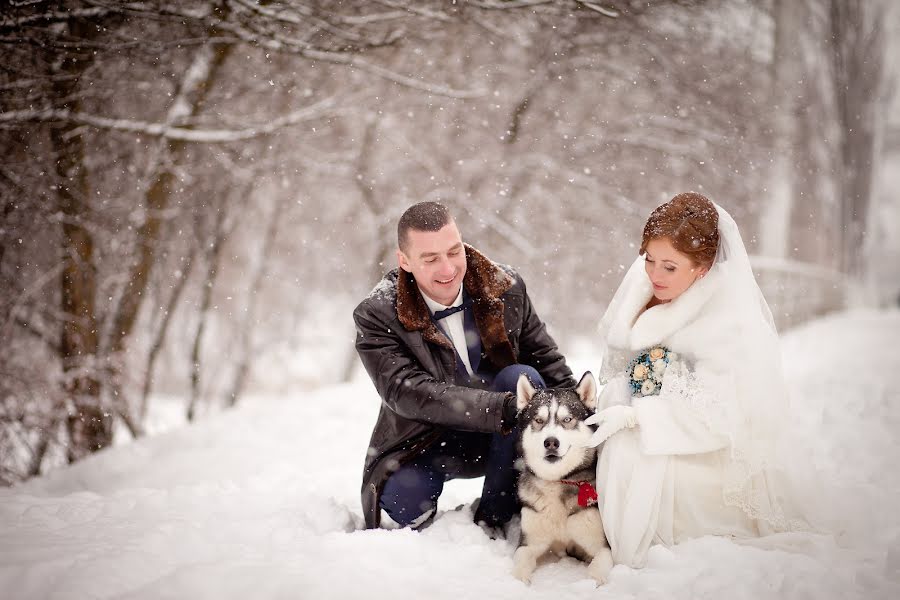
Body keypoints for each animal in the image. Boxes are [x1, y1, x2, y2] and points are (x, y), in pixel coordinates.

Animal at [512, 372, 612, 584]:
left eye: (567, 419)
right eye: (538, 420)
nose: (551, 442)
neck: (557, 481)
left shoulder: (602, 546)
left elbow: (597, 570)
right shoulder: (528, 543)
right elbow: (520, 563)